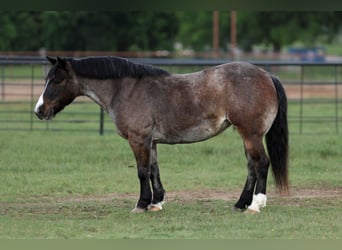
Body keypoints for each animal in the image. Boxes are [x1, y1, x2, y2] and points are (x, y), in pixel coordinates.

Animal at [34, 56, 288, 213]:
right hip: (246, 135)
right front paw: (156, 202)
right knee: (251, 166)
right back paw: (240, 203)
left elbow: (141, 171)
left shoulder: (138, 139)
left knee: (261, 163)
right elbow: (154, 170)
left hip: (251, 134)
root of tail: (267, 75)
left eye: (57, 80)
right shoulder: (151, 141)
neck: (126, 90)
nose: (39, 111)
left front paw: (141, 204)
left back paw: (255, 204)